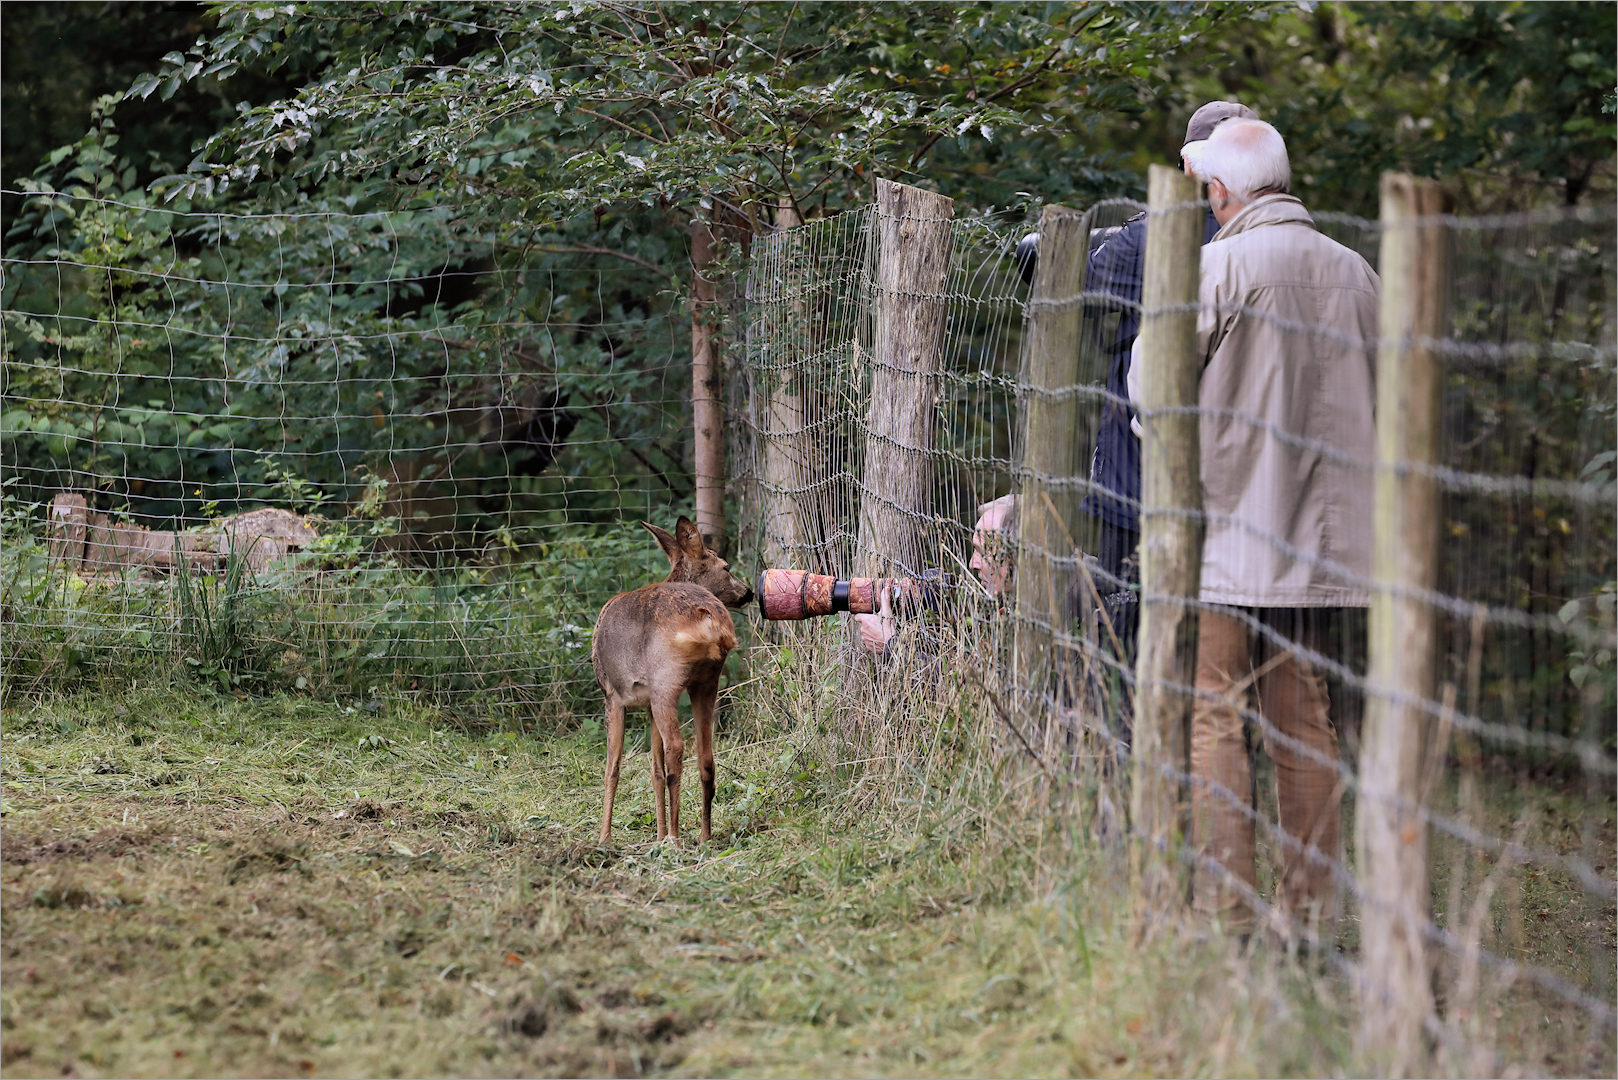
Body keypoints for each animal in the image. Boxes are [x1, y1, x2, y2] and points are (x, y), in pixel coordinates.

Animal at [595, 514, 750, 841]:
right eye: (727, 567)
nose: (748, 592)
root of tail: (709, 617)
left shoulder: (612, 695)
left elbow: (613, 766)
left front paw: (604, 838)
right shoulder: (647, 706)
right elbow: (653, 770)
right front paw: (657, 832)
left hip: (665, 681)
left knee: (677, 749)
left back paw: (675, 840)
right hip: (706, 682)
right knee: (705, 756)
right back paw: (703, 837)